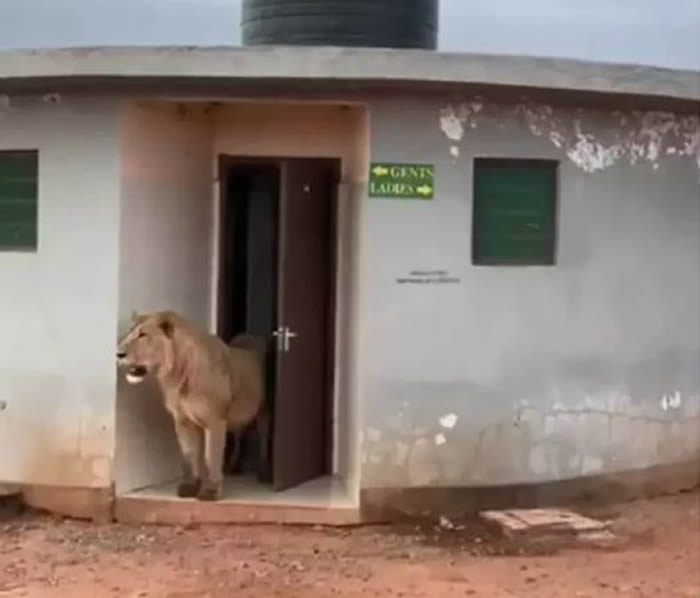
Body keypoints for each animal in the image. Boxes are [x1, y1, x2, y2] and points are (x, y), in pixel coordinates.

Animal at [115, 312, 268, 504]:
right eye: (129, 333)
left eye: (143, 335)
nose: (118, 354)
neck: (177, 375)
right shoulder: (182, 420)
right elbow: (188, 454)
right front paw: (190, 487)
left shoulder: (215, 419)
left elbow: (211, 456)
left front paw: (210, 492)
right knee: (241, 435)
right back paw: (234, 466)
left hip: (264, 411)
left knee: (265, 436)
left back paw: (263, 471)